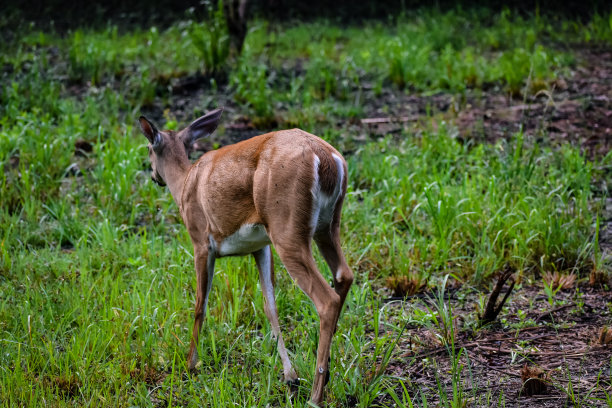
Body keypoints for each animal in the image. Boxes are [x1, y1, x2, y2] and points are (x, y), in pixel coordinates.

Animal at [136, 108, 352, 404]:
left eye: (148, 149)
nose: (154, 177)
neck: (184, 184)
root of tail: (328, 158)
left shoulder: (201, 240)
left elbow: (200, 305)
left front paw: (191, 364)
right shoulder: (260, 246)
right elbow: (270, 307)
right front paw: (290, 377)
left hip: (287, 228)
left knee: (327, 299)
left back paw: (315, 396)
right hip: (328, 225)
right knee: (344, 275)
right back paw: (327, 374)